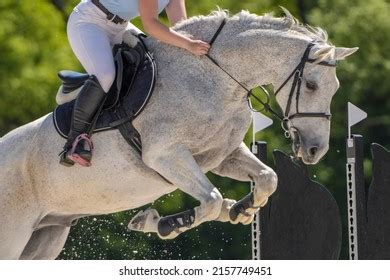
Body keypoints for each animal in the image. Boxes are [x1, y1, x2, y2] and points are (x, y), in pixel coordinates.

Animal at [0, 9, 356, 260]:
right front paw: (160, 223)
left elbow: (268, 179)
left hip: (45, 237)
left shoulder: (222, 155)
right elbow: (211, 200)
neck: (215, 75)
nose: (314, 151)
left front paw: (241, 209)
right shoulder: (166, 155)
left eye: (335, 87)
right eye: (311, 85)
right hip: (13, 237)